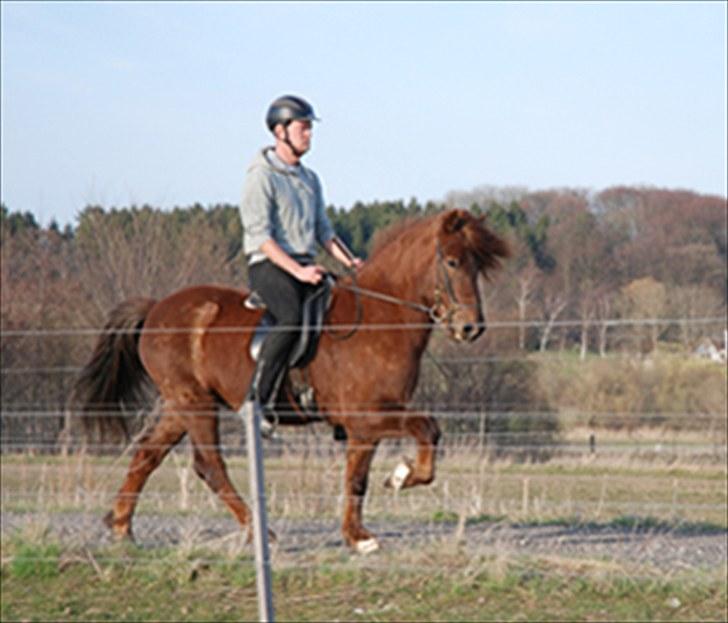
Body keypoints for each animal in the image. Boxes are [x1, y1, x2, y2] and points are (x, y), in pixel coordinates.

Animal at [71, 210, 510, 556]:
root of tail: (156, 308)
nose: (471, 328)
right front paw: (402, 477)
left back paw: (121, 526)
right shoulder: (367, 414)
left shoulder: (365, 426)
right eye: (452, 262)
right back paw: (260, 532)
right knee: (209, 465)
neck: (380, 317)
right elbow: (428, 429)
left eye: (477, 267)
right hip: (194, 403)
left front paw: (357, 535)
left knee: (147, 454)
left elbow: (357, 478)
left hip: (180, 404)